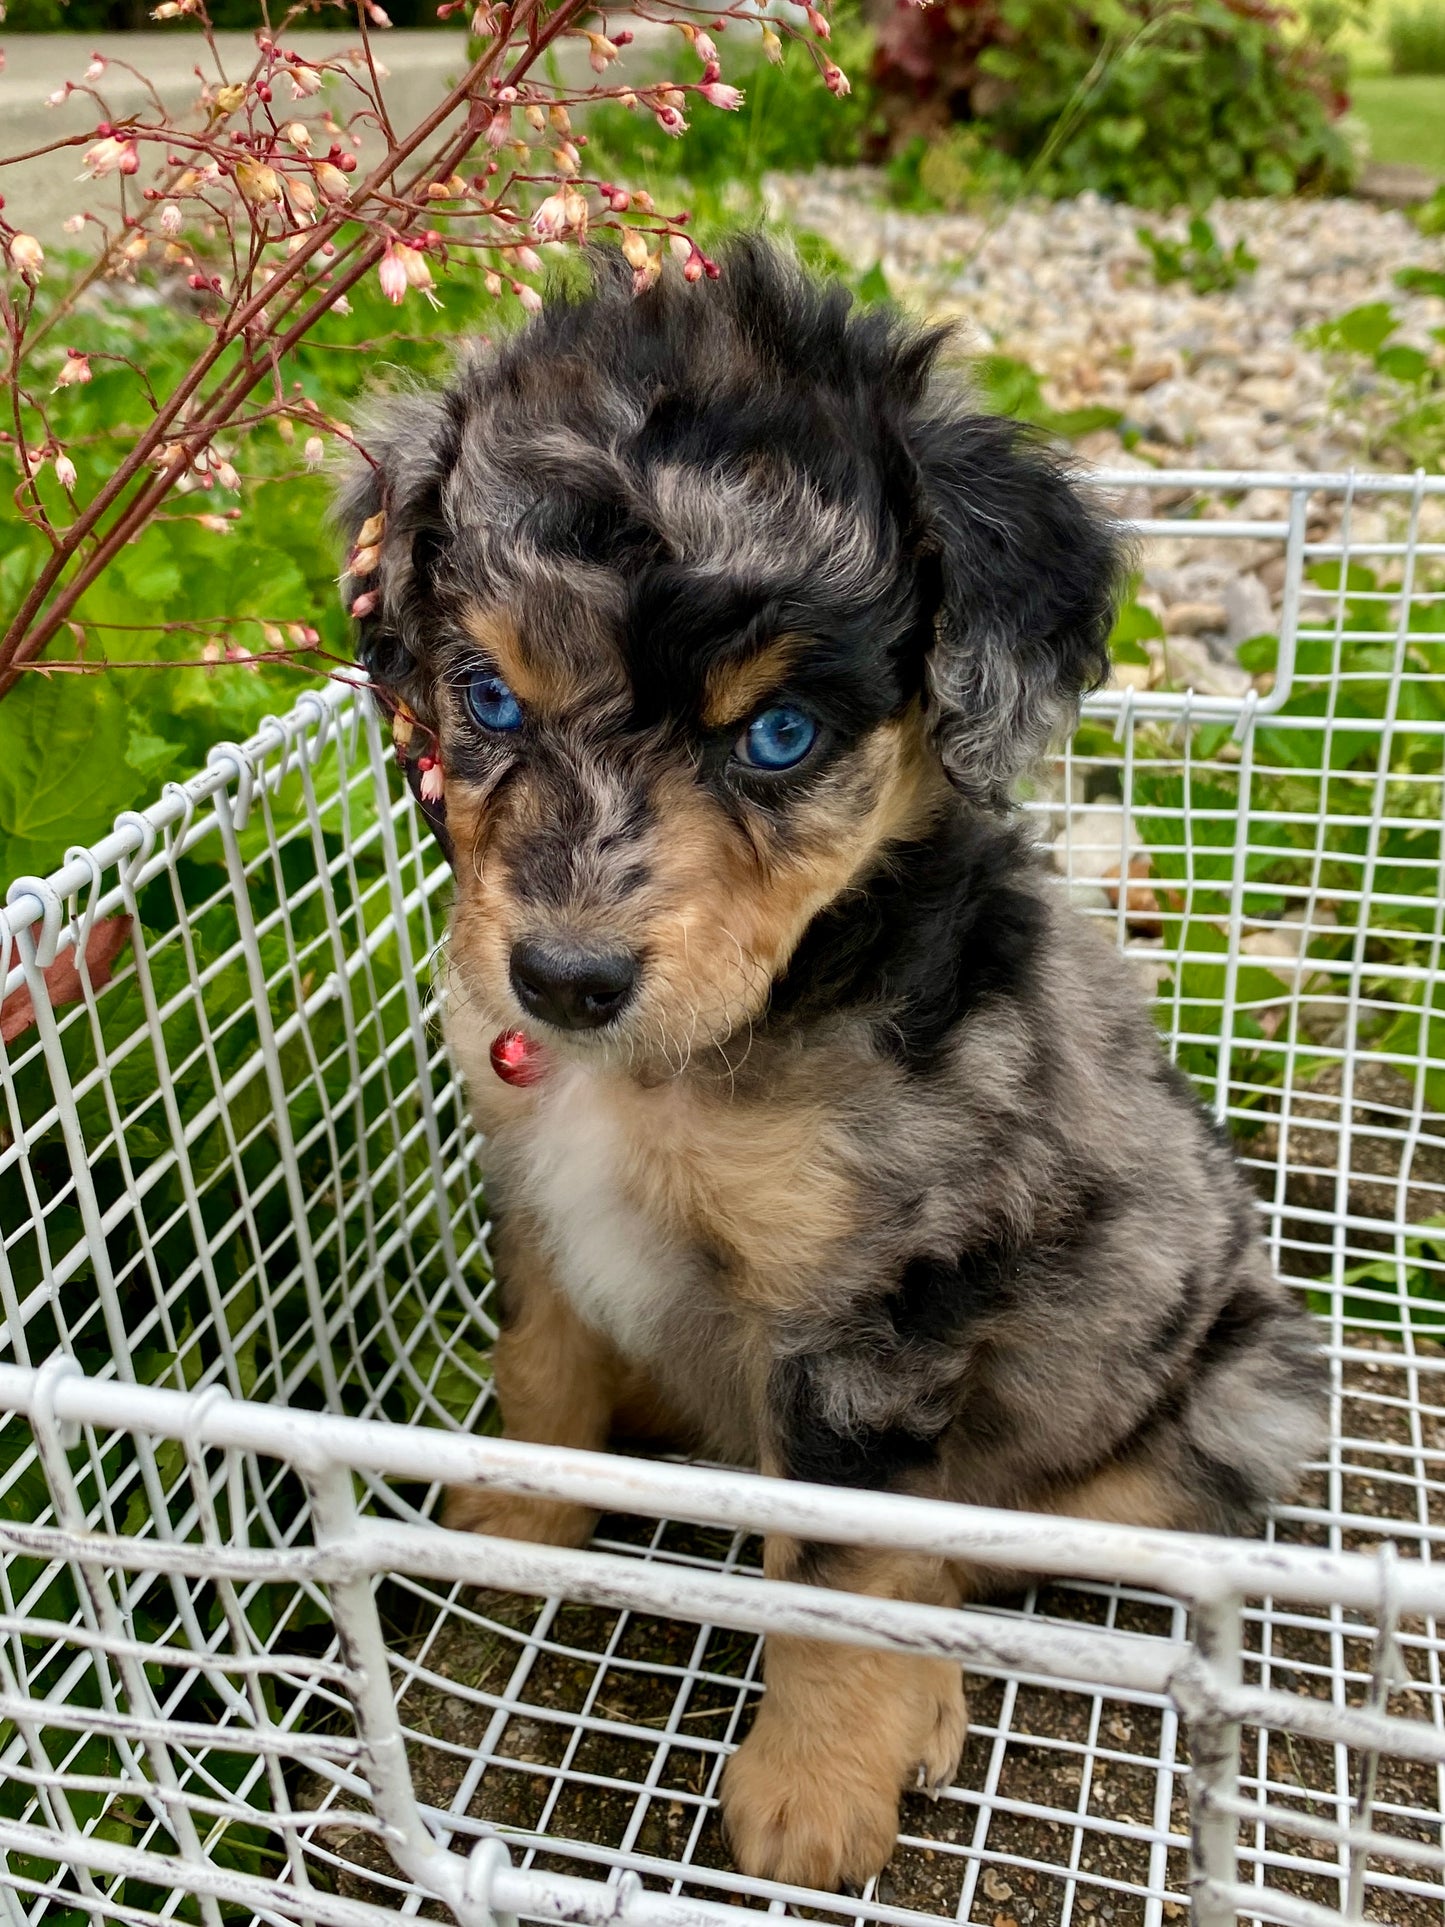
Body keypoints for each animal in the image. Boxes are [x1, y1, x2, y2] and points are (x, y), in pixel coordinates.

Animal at [339, 240, 1325, 1896]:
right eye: (487, 697)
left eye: (783, 734)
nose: (565, 977)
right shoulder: (531, 1186)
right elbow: (542, 1361)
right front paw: (516, 1518)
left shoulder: (875, 1307)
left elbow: (839, 1562)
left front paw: (816, 1786)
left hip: (1216, 1399)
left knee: (997, 1532)